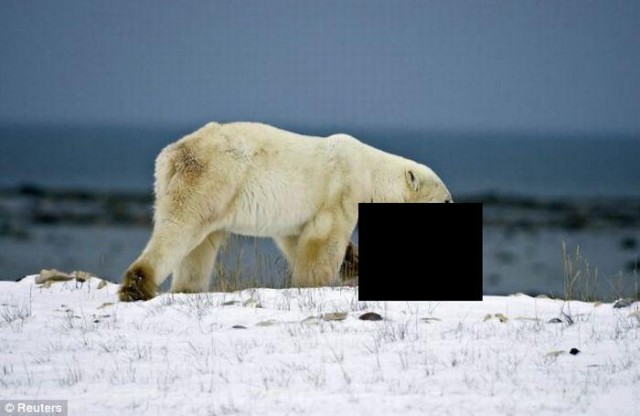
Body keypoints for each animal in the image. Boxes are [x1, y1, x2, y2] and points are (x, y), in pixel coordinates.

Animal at [119, 122, 451, 301]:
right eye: (446, 200)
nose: (453, 207)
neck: (371, 171)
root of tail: (173, 155)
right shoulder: (341, 189)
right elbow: (325, 238)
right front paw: (316, 283)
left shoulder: (299, 213)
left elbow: (296, 238)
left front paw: (353, 265)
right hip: (213, 178)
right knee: (180, 228)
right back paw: (137, 286)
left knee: (199, 246)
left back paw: (188, 288)